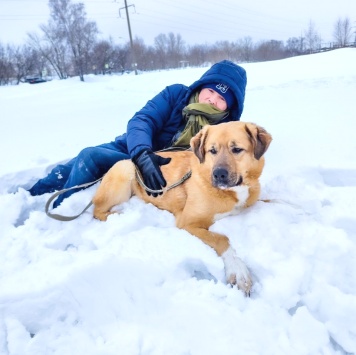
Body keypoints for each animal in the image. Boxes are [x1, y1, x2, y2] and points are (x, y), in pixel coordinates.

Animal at [92, 121, 272, 294]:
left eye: (237, 149)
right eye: (212, 150)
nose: (218, 174)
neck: (230, 192)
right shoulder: (188, 223)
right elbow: (222, 238)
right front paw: (238, 271)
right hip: (125, 172)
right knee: (96, 210)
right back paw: (117, 214)